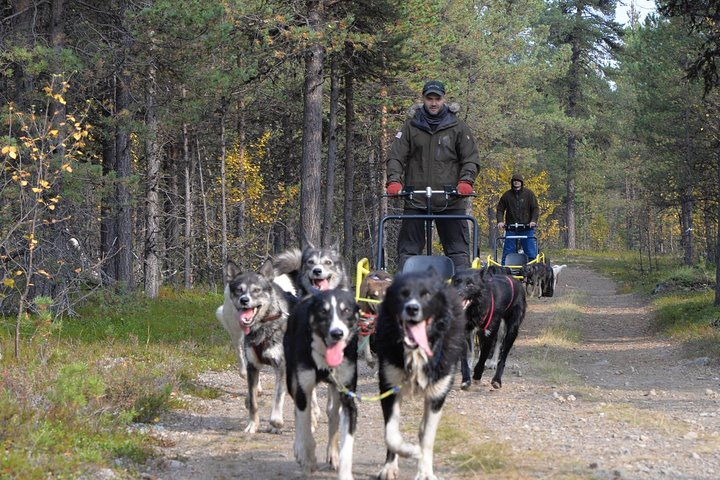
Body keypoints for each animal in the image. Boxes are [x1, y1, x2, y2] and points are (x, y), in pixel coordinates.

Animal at [282, 288, 358, 480]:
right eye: (323, 311)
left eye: (346, 311)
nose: (337, 333)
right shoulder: (303, 392)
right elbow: (305, 428)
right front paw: (307, 458)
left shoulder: (349, 399)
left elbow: (347, 446)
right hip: (292, 380)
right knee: (300, 414)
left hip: (335, 390)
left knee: (333, 414)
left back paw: (332, 453)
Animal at [374, 270, 464, 480]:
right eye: (402, 294)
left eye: (427, 295)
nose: (412, 309)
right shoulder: (389, 387)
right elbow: (391, 435)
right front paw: (399, 459)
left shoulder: (437, 395)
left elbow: (428, 438)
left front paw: (425, 471)